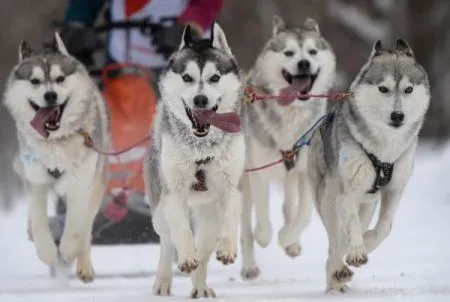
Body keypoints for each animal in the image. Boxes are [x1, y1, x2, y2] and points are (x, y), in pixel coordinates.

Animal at [2, 31, 109, 282]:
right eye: (34, 81)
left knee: (86, 228)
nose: (50, 95)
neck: (56, 142)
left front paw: (67, 251)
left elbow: (76, 228)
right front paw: (48, 252)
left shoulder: (80, 184)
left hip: (96, 187)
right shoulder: (35, 181)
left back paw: (83, 266)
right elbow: (40, 221)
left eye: (60, 79)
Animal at [144, 23, 244, 298]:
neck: (201, 150)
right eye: (187, 78)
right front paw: (187, 257)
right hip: (159, 210)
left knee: (205, 250)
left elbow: (231, 214)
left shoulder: (231, 186)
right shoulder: (173, 192)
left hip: (209, 217)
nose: (200, 99)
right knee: (167, 242)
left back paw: (200, 286)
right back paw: (164, 280)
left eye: (215, 78)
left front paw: (228, 248)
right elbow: (181, 230)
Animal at [241, 14, 336, 278]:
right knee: (244, 227)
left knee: (288, 207)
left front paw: (287, 239)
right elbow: (262, 215)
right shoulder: (258, 172)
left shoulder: (305, 171)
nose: (304, 63)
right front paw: (264, 236)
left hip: (292, 177)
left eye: (312, 52)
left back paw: (291, 243)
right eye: (289, 52)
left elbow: (303, 215)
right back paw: (249, 265)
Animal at [302, 39, 428, 292]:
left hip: (368, 204)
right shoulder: (348, 191)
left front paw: (365, 245)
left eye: (408, 89)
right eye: (383, 89)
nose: (398, 115)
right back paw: (336, 274)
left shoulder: (393, 190)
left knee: (348, 233)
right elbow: (350, 228)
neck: (384, 152)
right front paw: (356, 254)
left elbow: (383, 228)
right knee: (335, 240)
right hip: (328, 201)